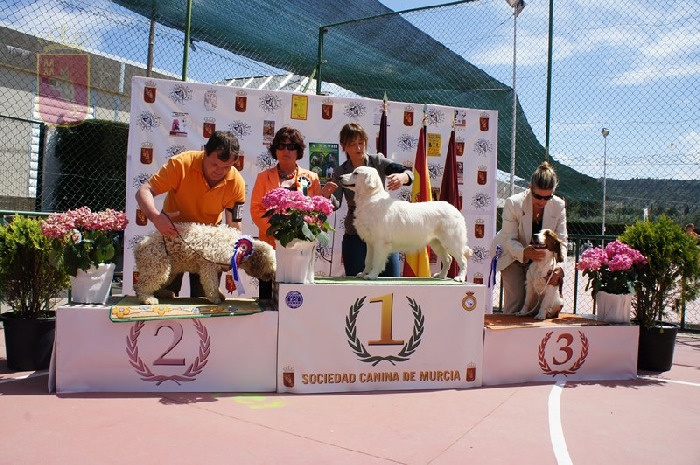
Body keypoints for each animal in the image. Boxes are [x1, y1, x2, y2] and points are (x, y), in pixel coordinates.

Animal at [133, 223, 276, 305]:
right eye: (272, 265)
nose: (272, 276)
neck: (237, 248)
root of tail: (140, 245)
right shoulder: (208, 265)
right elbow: (211, 283)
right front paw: (215, 298)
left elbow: (215, 283)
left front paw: (219, 295)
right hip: (158, 267)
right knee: (141, 286)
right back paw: (147, 299)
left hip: (169, 270)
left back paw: (165, 293)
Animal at [340, 166, 472, 281]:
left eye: (356, 173)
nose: (340, 176)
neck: (370, 199)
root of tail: (455, 209)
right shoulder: (370, 242)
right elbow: (368, 260)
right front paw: (363, 274)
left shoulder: (380, 241)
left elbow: (376, 261)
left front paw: (371, 276)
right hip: (437, 243)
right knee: (448, 259)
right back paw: (441, 275)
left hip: (451, 241)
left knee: (463, 260)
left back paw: (459, 278)